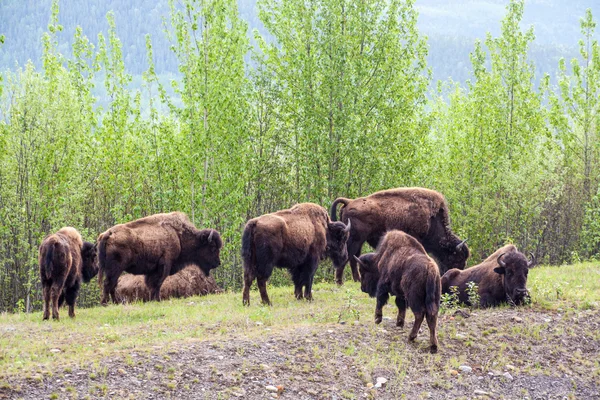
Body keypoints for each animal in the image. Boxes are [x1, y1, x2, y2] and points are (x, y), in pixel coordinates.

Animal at [332, 188, 468, 284]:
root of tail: (349, 201)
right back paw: (340, 282)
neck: (433, 220)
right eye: (457, 258)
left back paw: (357, 280)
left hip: (359, 241)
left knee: (353, 258)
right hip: (354, 239)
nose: (456, 272)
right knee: (348, 256)